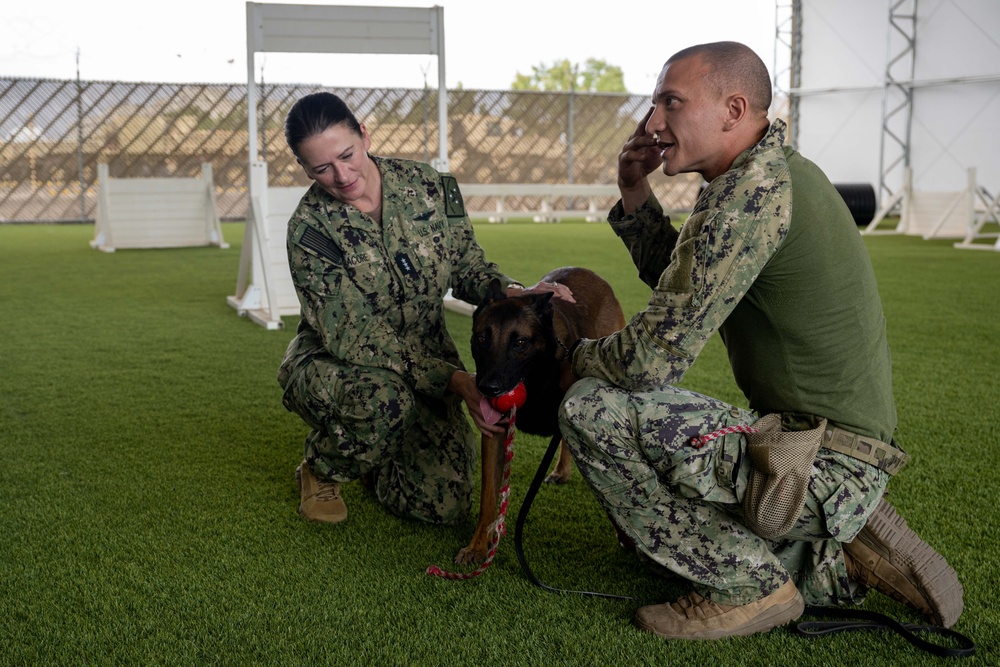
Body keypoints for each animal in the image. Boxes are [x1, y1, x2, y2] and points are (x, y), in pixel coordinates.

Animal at [456, 266, 624, 564]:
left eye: (520, 342)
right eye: (482, 339)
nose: (488, 388)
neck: (535, 378)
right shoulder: (494, 435)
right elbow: (488, 498)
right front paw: (478, 546)